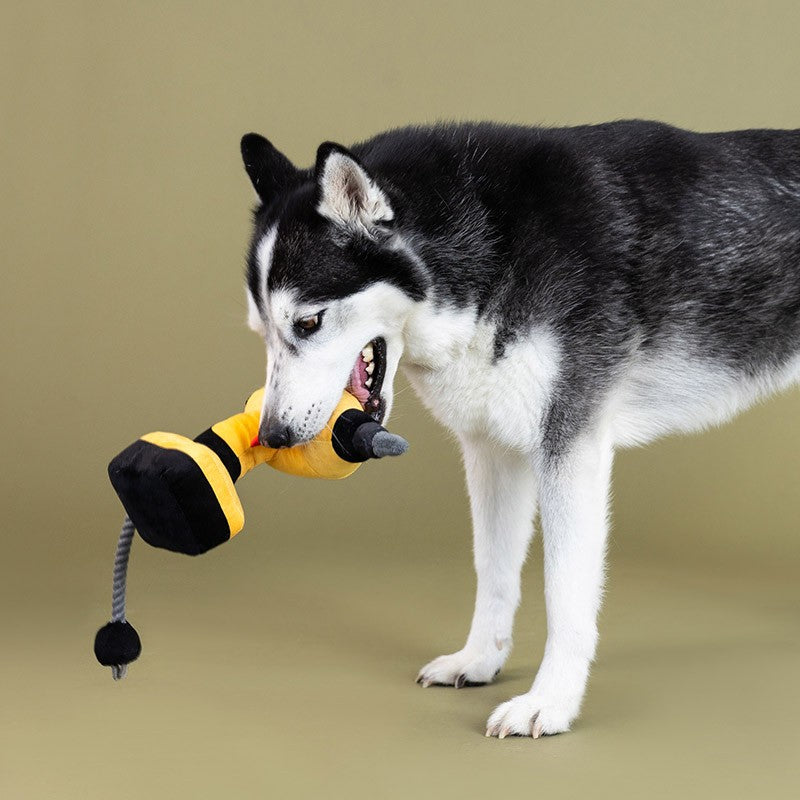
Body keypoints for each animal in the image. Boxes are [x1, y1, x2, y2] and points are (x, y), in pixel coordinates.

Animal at [239, 122, 800, 740]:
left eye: (308, 322)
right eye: (260, 330)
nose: (274, 436)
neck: (491, 245)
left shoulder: (570, 448)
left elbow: (565, 592)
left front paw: (551, 702)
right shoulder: (492, 453)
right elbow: (495, 570)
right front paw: (480, 660)